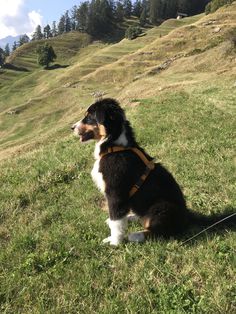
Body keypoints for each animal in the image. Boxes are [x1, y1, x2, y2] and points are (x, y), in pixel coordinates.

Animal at [71, 98, 234, 245]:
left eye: (89, 117)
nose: (71, 128)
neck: (115, 146)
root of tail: (187, 216)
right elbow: (117, 219)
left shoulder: (115, 192)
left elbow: (116, 222)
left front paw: (114, 242)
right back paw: (132, 217)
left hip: (162, 207)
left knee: (161, 231)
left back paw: (136, 235)